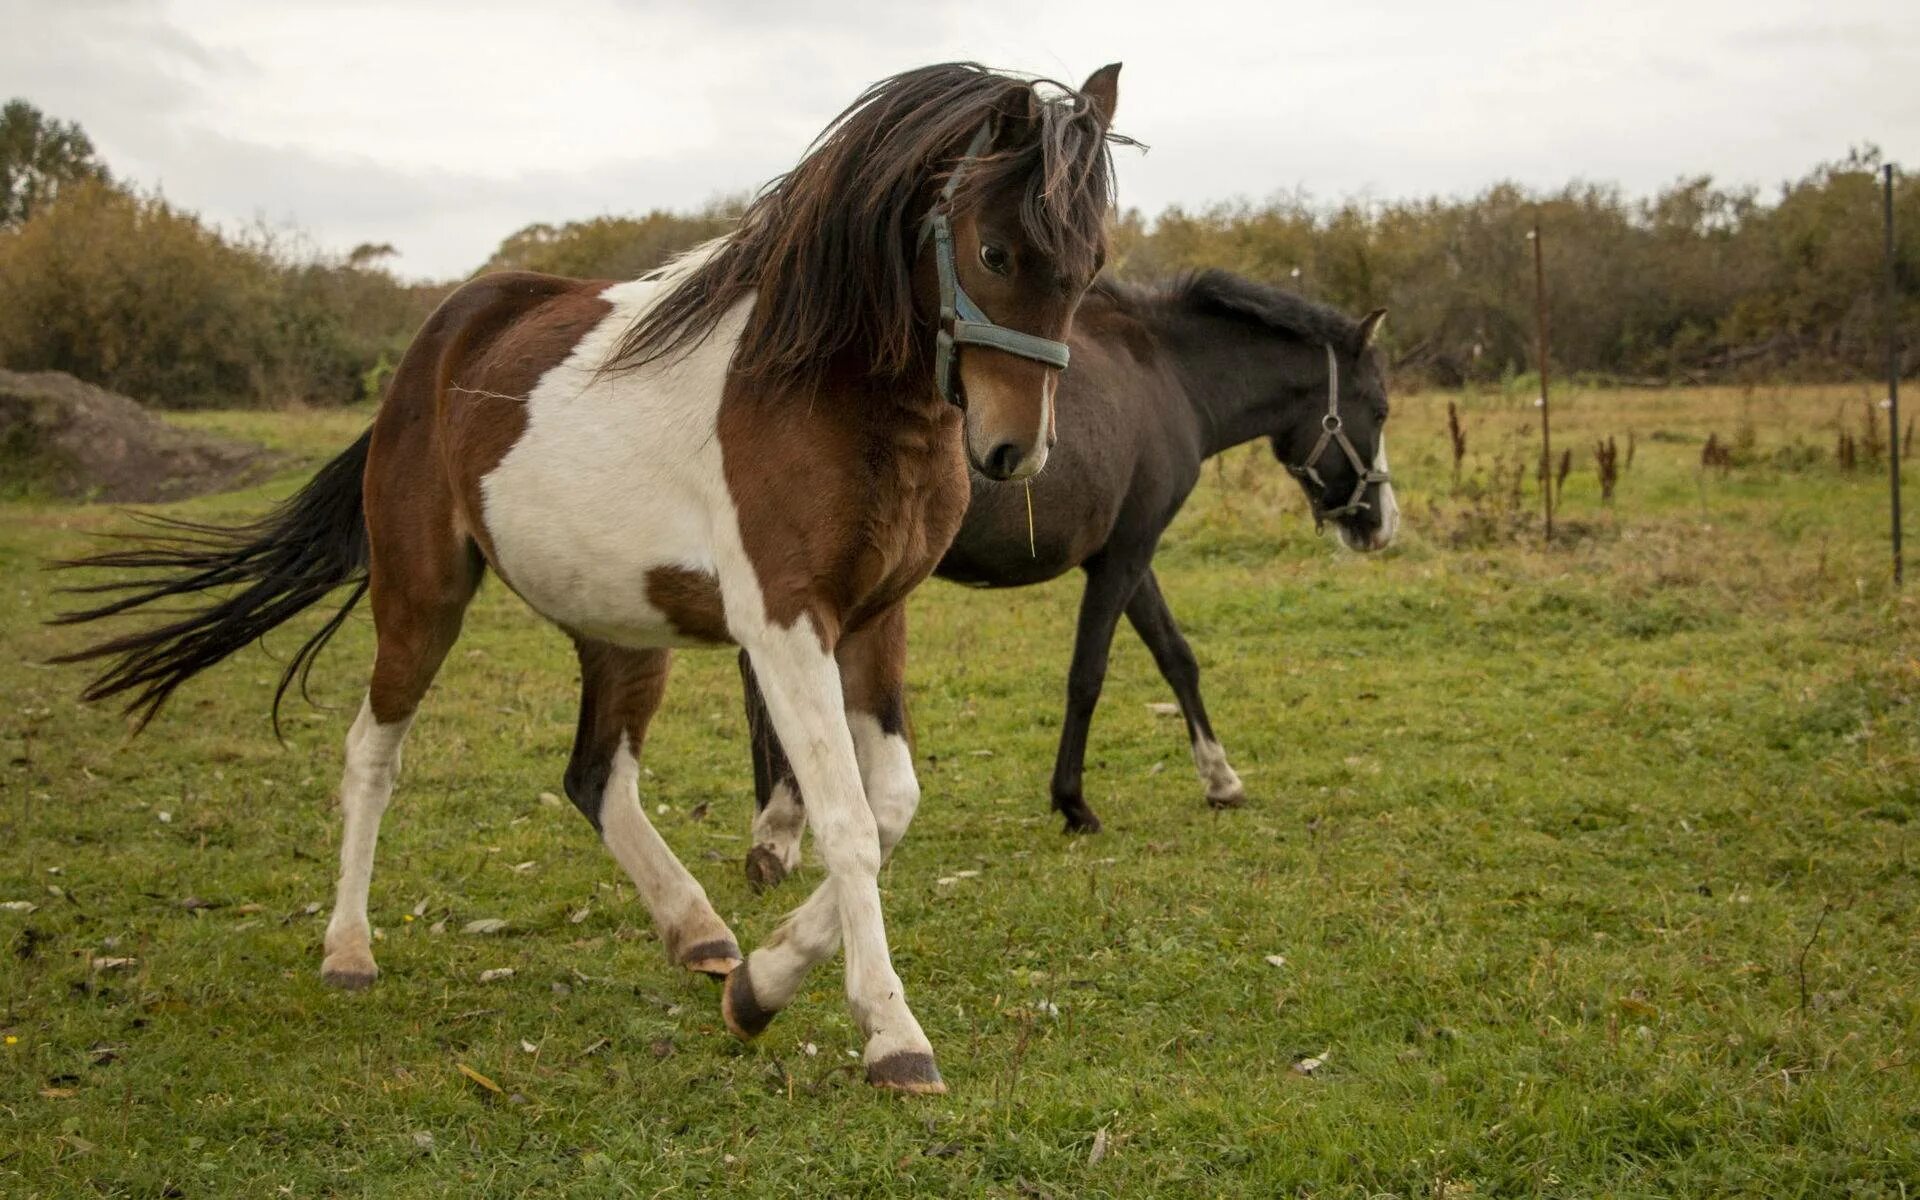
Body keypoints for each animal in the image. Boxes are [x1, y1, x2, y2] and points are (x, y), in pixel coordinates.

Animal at [52, 65, 1121, 1098]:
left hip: (622, 629)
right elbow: (851, 823)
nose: (1014, 450)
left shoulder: (874, 619)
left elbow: (892, 807)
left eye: (1091, 266)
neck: (824, 385)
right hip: (422, 601)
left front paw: (761, 987)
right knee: (373, 753)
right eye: (994, 254)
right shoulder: (785, 624)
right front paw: (892, 1036)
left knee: (596, 777)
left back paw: (699, 932)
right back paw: (348, 951)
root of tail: (438, 342)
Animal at [737, 266, 1397, 879]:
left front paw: (1220, 777)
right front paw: (1073, 803)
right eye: (1380, 409)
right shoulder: (1126, 556)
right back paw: (780, 827)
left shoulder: (1127, 554)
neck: (1168, 377)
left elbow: (1175, 656)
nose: (1383, 523)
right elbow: (1088, 676)